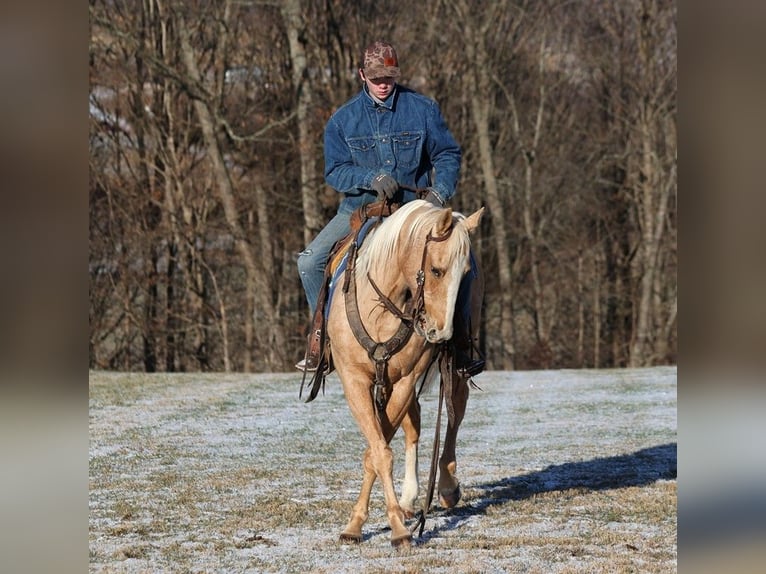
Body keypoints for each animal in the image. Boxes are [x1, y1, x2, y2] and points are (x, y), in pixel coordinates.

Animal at [326, 200, 484, 548]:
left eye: (466, 273)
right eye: (437, 270)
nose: (441, 332)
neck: (382, 306)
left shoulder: (406, 380)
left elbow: (378, 450)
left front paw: (396, 527)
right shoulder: (354, 382)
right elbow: (379, 450)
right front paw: (358, 525)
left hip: (453, 371)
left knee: (454, 414)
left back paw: (446, 487)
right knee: (413, 428)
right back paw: (410, 499)